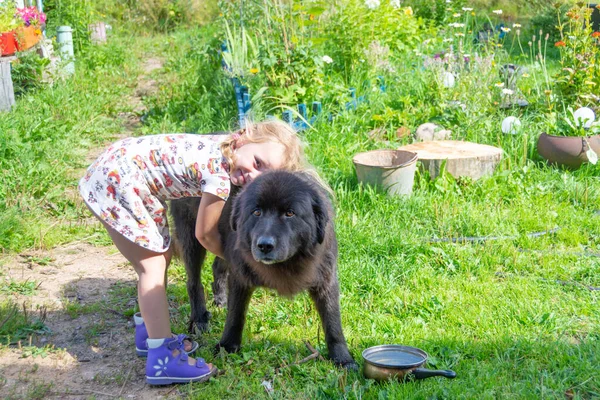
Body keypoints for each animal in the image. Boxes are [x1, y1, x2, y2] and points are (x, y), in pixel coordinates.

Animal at [169, 170, 356, 368]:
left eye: (290, 213)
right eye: (256, 212)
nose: (265, 245)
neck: (287, 264)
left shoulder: (326, 279)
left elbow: (333, 321)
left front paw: (343, 359)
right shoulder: (240, 276)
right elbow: (236, 315)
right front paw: (226, 346)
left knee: (217, 266)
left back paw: (220, 298)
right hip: (193, 235)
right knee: (193, 281)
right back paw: (199, 319)